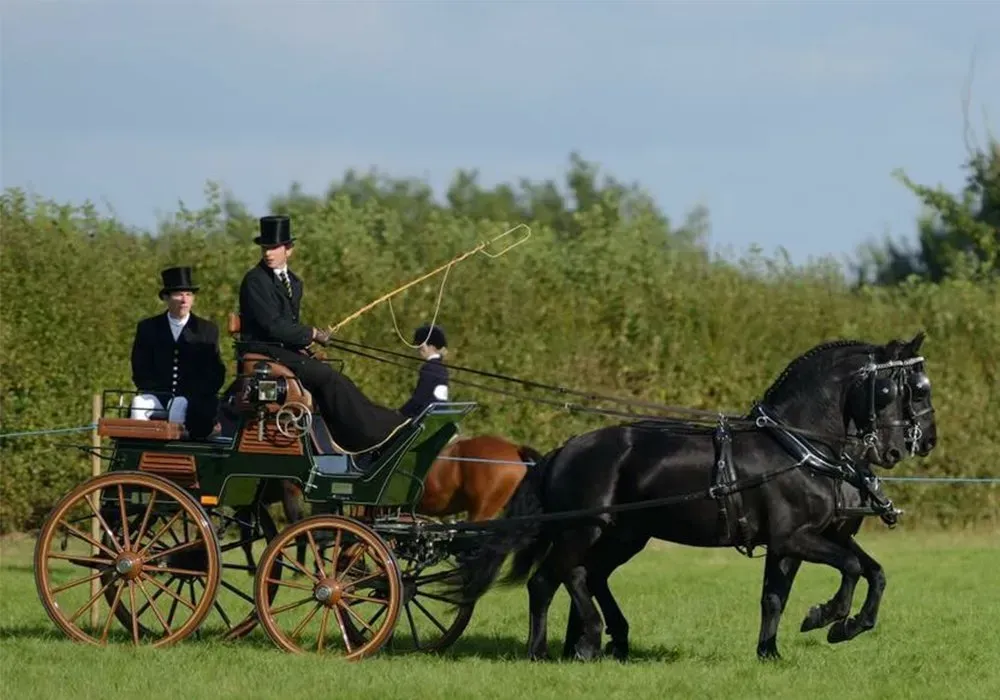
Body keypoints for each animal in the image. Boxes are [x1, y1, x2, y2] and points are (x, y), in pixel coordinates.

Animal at [445, 332, 938, 661]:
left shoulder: (806, 539)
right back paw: (557, 646)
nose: (909, 446)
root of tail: (564, 449)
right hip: (582, 529)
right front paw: (827, 617)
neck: (799, 447)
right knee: (552, 578)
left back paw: (600, 640)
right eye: (902, 388)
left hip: (623, 536)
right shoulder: (795, 538)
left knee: (585, 575)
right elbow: (851, 568)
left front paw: (779, 649)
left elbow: (855, 577)